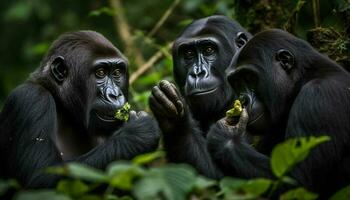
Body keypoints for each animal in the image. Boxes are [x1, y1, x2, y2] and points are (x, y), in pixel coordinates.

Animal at [0, 30, 161, 188]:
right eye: (100, 73)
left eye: (116, 73)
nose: (114, 95)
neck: (64, 108)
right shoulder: (31, 99)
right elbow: (40, 177)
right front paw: (138, 134)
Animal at [206, 28, 350, 198]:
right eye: (236, 82)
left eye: (248, 77)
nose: (242, 99)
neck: (301, 80)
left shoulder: (318, 99)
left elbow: (294, 183)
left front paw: (225, 136)